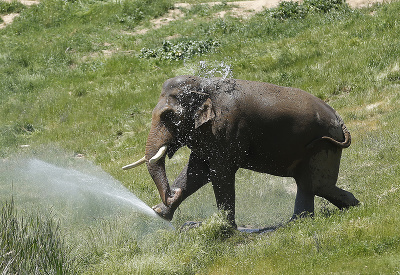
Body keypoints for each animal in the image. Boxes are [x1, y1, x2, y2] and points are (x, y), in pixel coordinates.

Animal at [122, 75, 360, 229]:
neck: (203, 86)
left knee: (314, 185)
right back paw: (348, 207)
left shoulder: (227, 129)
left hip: (323, 145)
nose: (170, 193)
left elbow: (220, 173)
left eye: (168, 116)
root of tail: (340, 120)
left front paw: (222, 226)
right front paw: (160, 213)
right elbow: (197, 170)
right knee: (314, 185)